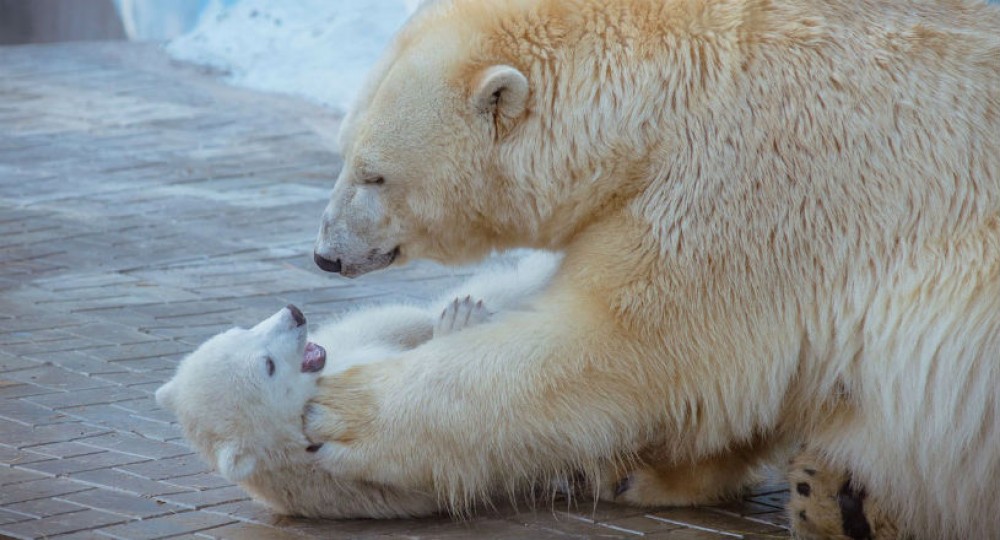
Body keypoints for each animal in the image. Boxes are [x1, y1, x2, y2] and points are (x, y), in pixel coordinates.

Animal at [308, 0, 996, 536]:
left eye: (375, 175)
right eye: (342, 154)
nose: (324, 253)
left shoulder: (752, 187)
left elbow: (619, 345)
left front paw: (335, 414)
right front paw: (643, 470)